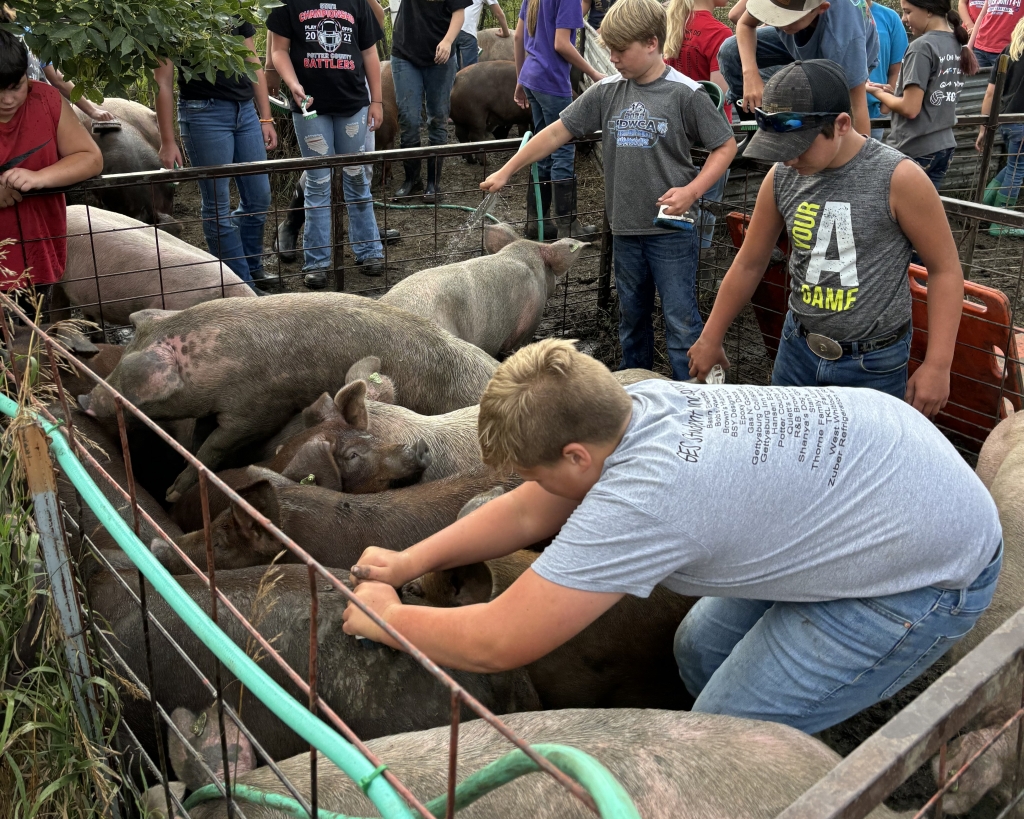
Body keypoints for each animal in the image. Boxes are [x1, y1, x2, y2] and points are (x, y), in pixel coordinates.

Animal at [77, 292, 497, 499]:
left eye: (126, 379)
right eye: (122, 359)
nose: (84, 401)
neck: (211, 364)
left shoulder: (256, 409)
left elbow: (214, 447)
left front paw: (171, 494)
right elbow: (198, 437)